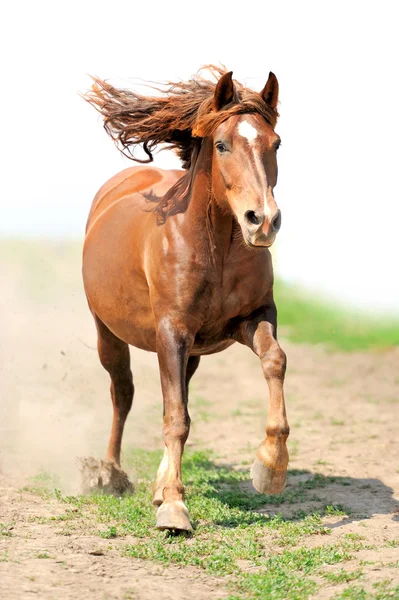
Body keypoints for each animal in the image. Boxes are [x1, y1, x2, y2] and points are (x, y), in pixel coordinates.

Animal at [83, 65, 290, 532]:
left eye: (276, 143)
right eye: (222, 144)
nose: (263, 221)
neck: (216, 246)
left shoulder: (251, 318)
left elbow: (274, 360)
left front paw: (270, 467)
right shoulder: (171, 331)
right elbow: (175, 418)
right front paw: (175, 509)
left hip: (192, 349)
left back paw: (158, 485)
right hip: (109, 331)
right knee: (122, 392)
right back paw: (110, 475)